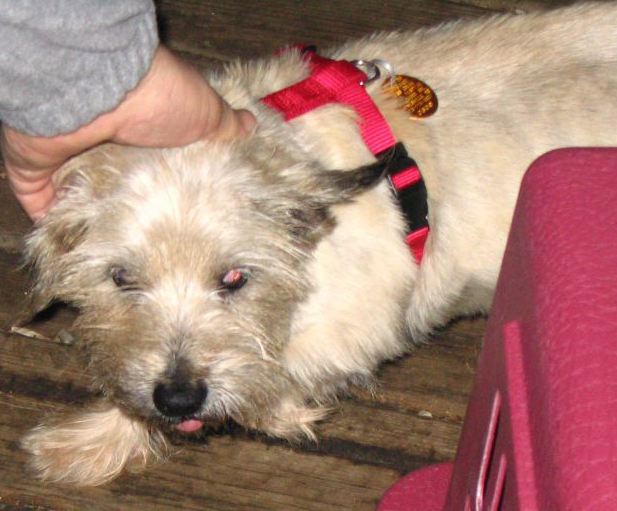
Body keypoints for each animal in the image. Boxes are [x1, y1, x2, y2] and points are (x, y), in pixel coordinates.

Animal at [19, 2, 617, 485]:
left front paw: (276, 414)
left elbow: (274, 371)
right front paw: (93, 441)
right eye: (121, 278)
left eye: (235, 277)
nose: (179, 397)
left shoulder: (363, 323)